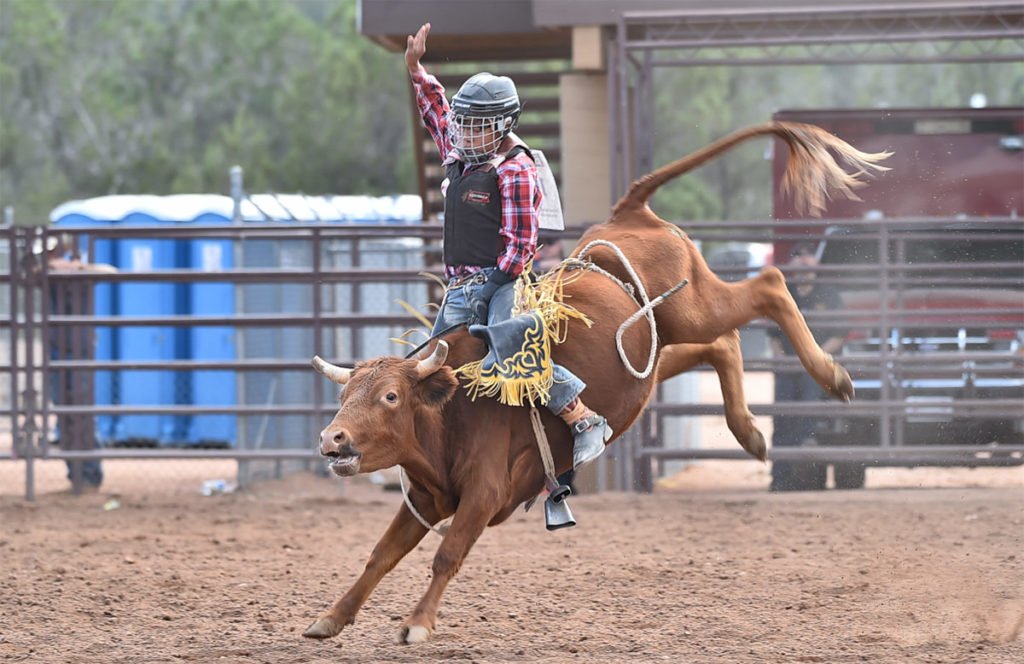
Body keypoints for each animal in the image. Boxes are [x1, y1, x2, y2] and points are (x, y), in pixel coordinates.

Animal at [303, 121, 890, 644]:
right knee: (721, 345)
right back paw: (749, 432)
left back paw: (833, 376)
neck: (450, 412)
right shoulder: (423, 499)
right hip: (653, 354)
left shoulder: (484, 494)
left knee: (767, 284)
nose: (332, 438)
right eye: (344, 395)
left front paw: (418, 623)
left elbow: (447, 554)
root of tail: (627, 213)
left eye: (390, 396)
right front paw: (330, 617)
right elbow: (380, 555)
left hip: (693, 308)